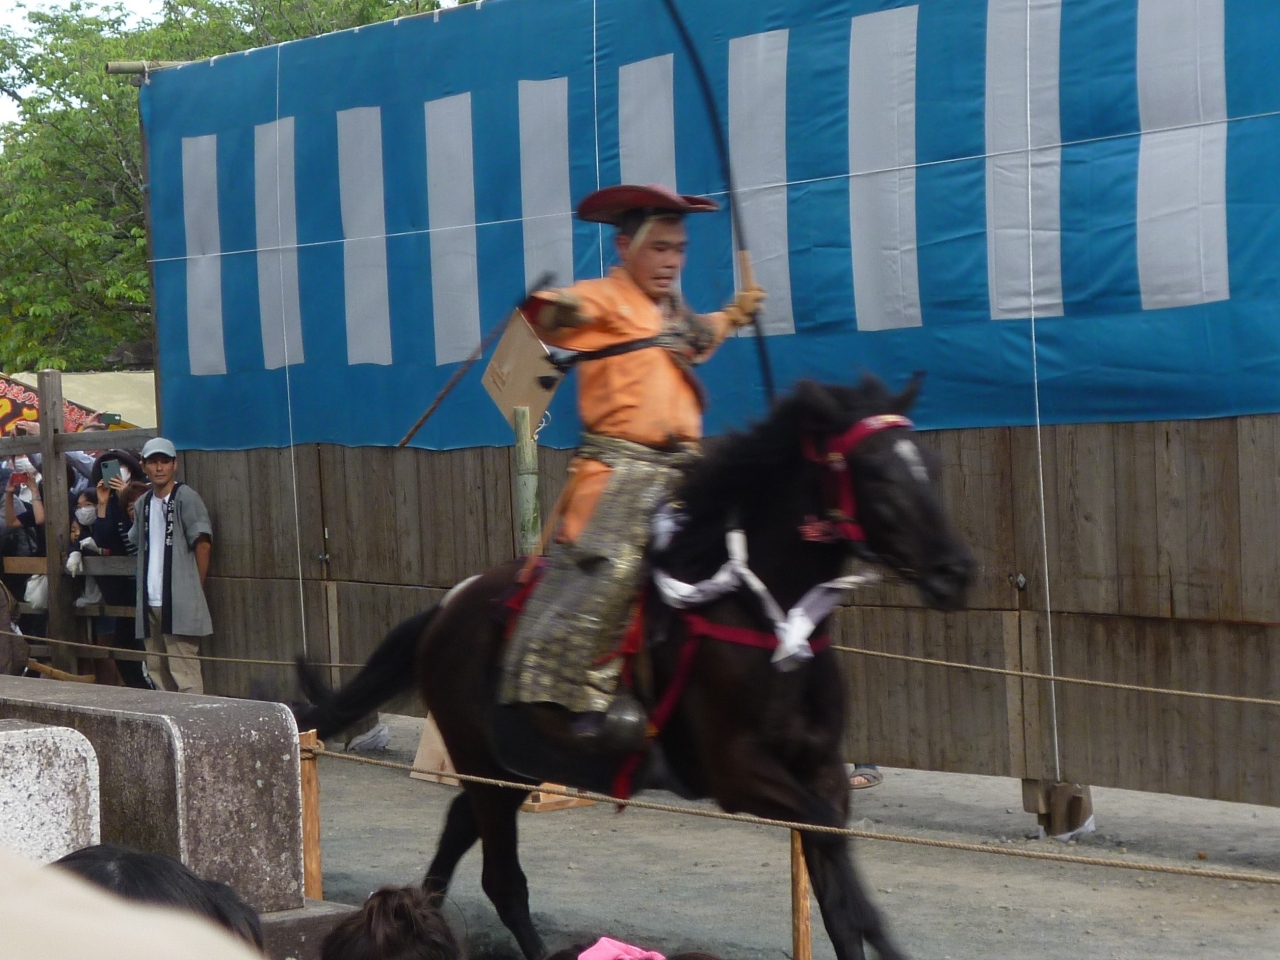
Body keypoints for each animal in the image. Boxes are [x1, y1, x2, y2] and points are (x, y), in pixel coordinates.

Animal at [296, 375, 974, 960]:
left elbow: (838, 902)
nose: (955, 571)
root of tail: (449, 604)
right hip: (481, 757)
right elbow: (842, 870)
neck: (768, 619)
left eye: (931, 468)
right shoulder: (740, 774)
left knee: (456, 842)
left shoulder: (824, 771)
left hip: (503, 765)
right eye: (878, 474)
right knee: (502, 880)